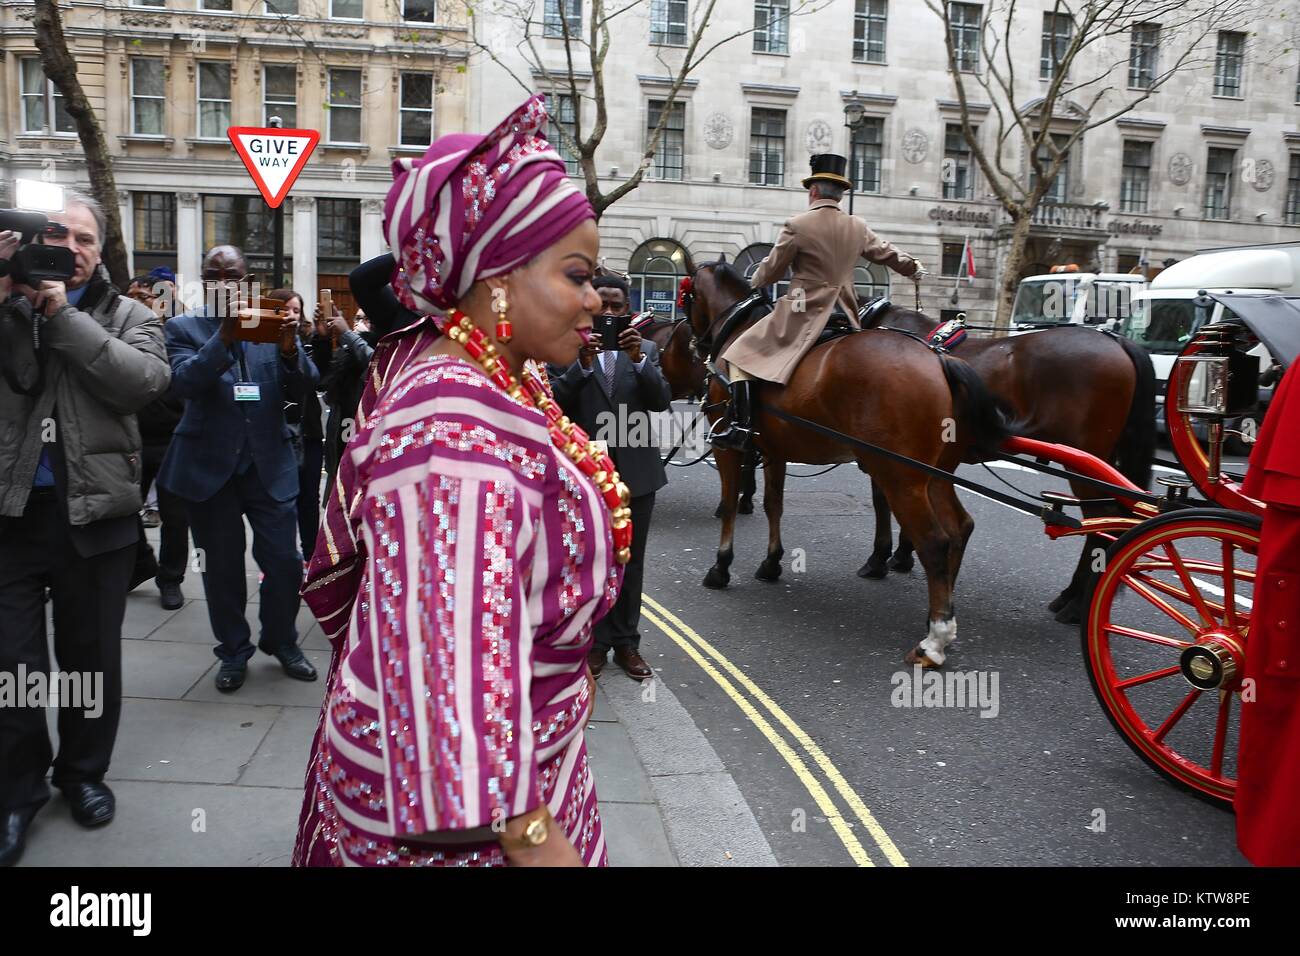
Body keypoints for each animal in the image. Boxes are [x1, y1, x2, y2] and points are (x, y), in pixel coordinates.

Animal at [686, 257, 1019, 671]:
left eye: (687, 296)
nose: (694, 343)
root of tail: (939, 358)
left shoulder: (729, 449)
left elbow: (731, 504)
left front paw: (721, 566)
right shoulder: (775, 450)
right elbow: (773, 505)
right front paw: (772, 562)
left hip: (901, 477)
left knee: (934, 542)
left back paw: (933, 640)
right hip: (934, 476)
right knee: (959, 529)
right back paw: (939, 616)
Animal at [852, 304, 1159, 621]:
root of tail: (1115, 339)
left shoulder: (887, 454)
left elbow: (882, 501)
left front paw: (880, 558)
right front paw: (902, 554)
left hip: (1083, 461)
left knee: (1104, 520)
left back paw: (1076, 605)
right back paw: (1073, 596)